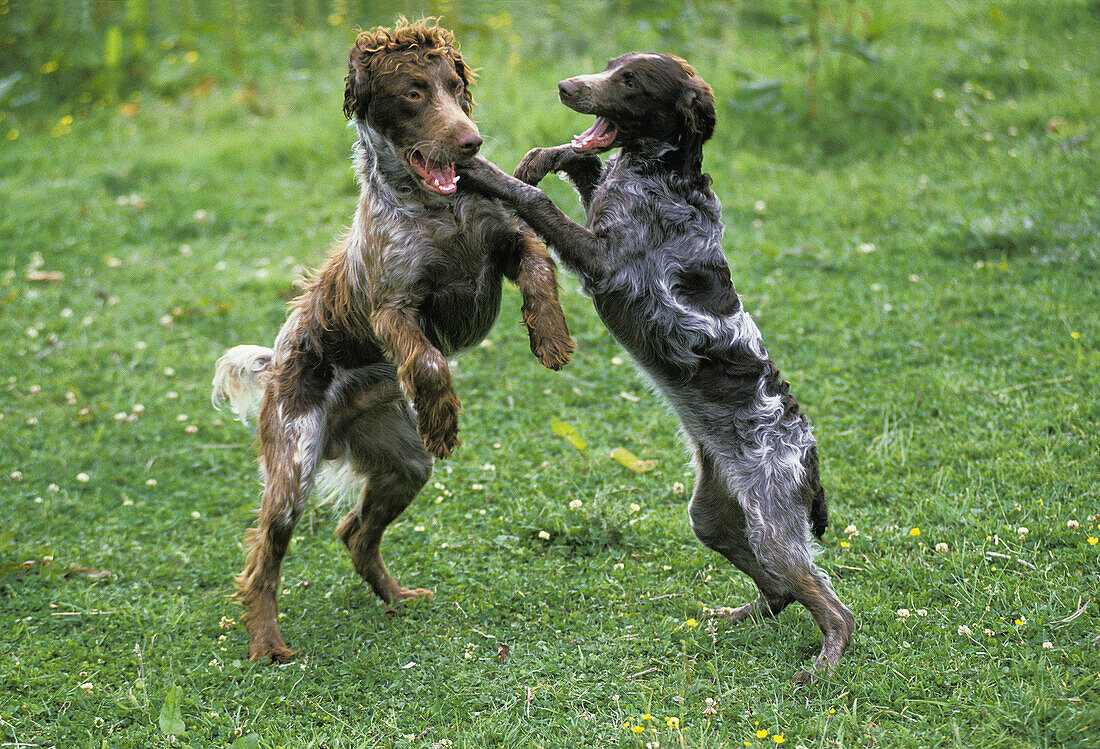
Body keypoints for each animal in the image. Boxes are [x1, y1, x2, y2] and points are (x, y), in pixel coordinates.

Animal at [213, 17, 576, 659]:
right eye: (412, 92)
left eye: (454, 87)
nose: (471, 143)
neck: (439, 207)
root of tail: (277, 360)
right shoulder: (394, 307)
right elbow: (428, 362)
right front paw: (443, 416)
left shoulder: (511, 241)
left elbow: (539, 275)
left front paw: (550, 339)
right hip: (293, 470)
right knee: (263, 562)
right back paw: (268, 644)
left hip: (404, 463)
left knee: (355, 532)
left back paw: (396, 596)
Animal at [459, 52, 853, 681]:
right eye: (609, 66)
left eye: (630, 82)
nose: (566, 87)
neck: (661, 174)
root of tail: (808, 455)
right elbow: (583, 163)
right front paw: (546, 155)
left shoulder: (606, 259)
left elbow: (535, 201)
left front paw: (485, 170)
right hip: (712, 516)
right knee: (782, 591)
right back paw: (733, 618)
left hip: (772, 527)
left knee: (834, 608)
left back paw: (823, 664)